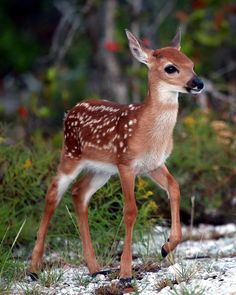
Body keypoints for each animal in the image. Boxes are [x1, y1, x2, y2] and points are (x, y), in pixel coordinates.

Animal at [28, 29, 204, 284]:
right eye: (171, 68)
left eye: (191, 64)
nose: (198, 83)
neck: (147, 130)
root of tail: (69, 111)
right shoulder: (126, 163)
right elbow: (130, 211)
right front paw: (125, 273)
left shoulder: (153, 164)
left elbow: (175, 188)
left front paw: (166, 246)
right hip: (71, 154)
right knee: (52, 193)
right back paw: (33, 269)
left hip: (100, 169)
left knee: (79, 193)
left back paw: (94, 268)